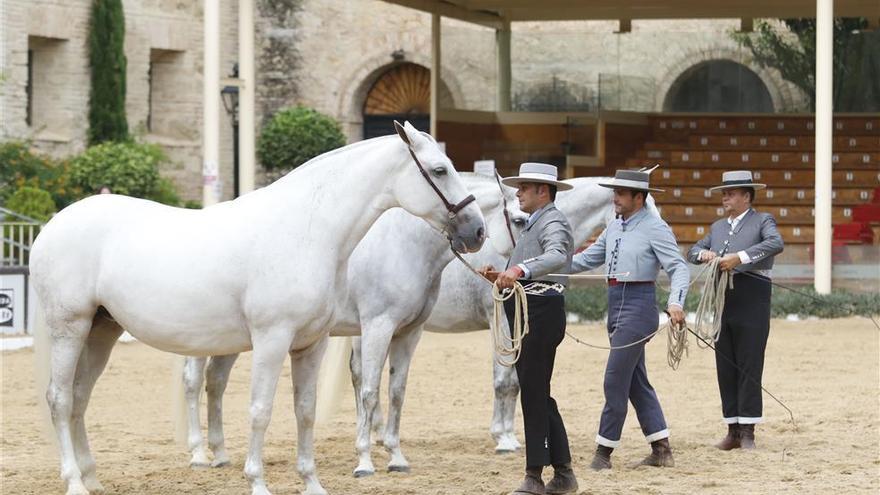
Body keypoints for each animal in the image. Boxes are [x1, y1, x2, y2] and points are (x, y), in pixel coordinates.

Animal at [31, 121, 484, 495]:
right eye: (439, 170)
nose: (476, 230)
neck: (307, 230)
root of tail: (51, 226)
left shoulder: (311, 344)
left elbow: (305, 410)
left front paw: (312, 483)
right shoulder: (272, 339)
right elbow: (261, 410)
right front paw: (257, 482)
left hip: (102, 330)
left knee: (80, 397)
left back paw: (92, 478)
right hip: (70, 328)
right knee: (60, 399)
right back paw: (75, 482)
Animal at [176, 171, 524, 476]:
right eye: (519, 220)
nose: (477, 235)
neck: (403, 247)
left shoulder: (409, 332)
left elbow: (396, 391)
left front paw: (394, 456)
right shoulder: (379, 326)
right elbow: (370, 389)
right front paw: (365, 461)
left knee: (215, 383)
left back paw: (220, 454)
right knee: (194, 382)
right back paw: (199, 454)